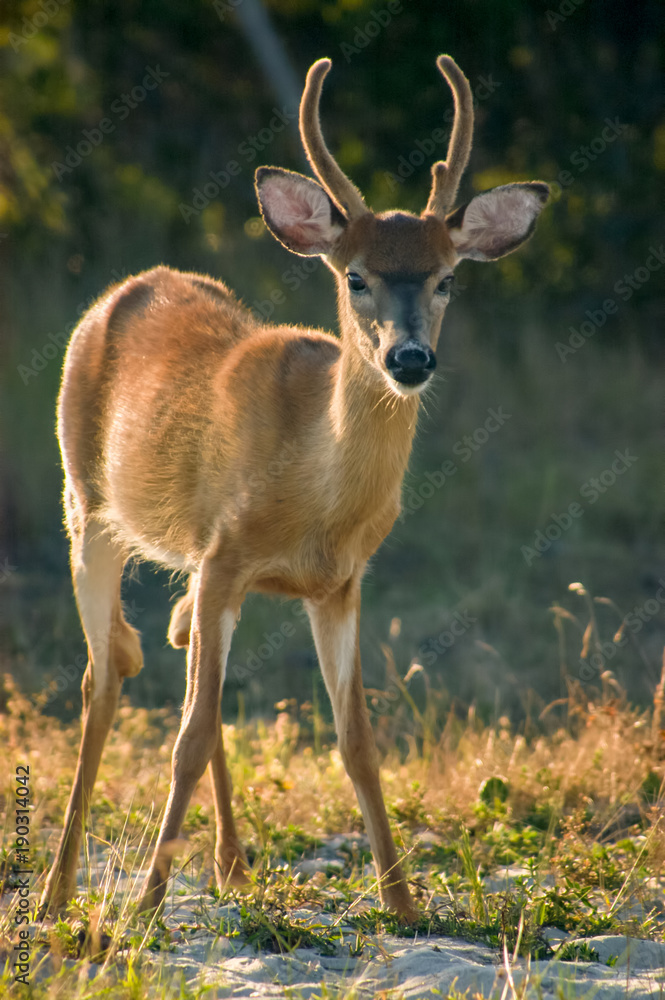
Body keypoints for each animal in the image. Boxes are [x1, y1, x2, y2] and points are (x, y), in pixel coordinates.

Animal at [39, 54, 549, 922]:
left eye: (447, 280)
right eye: (356, 278)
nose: (409, 359)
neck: (316, 498)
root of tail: (121, 290)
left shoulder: (337, 584)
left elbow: (357, 742)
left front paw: (402, 902)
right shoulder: (223, 555)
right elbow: (190, 734)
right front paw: (146, 903)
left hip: (179, 559)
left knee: (173, 649)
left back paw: (233, 867)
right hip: (88, 508)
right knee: (102, 680)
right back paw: (57, 890)